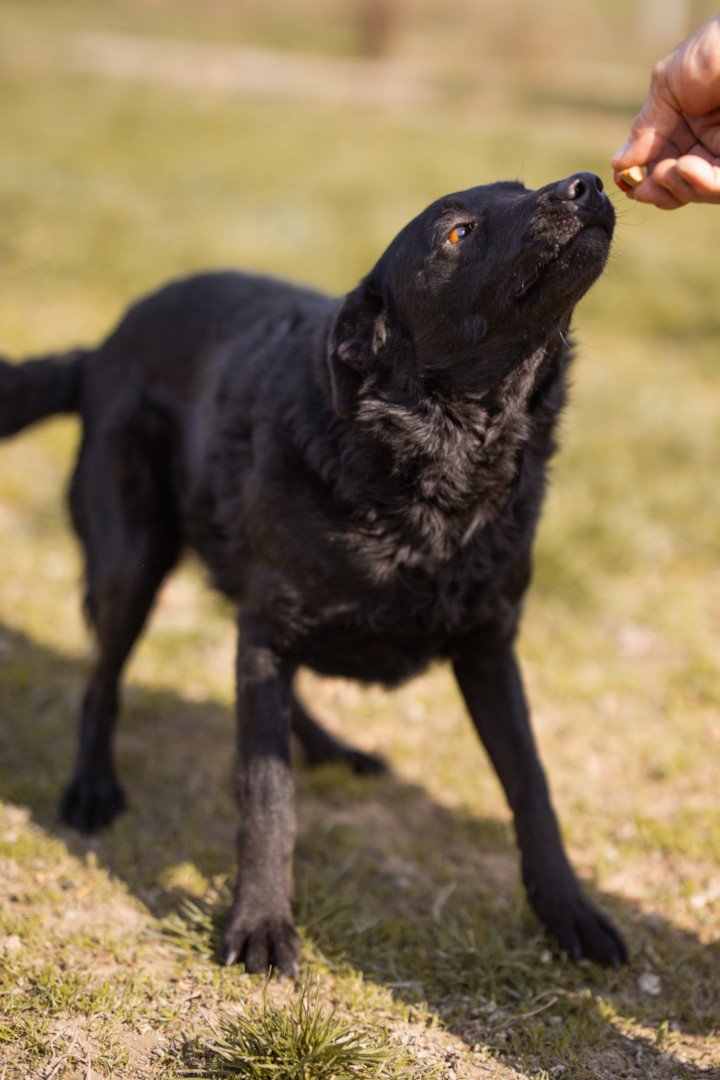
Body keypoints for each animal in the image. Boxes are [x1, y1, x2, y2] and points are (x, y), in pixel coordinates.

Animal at [0, 171, 627, 974]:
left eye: (520, 186)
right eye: (456, 231)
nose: (587, 183)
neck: (438, 472)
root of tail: (102, 347)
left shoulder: (489, 647)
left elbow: (532, 788)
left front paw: (571, 915)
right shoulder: (269, 631)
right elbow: (268, 796)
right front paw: (260, 925)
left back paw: (333, 748)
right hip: (130, 562)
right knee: (101, 682)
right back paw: (90, 789)